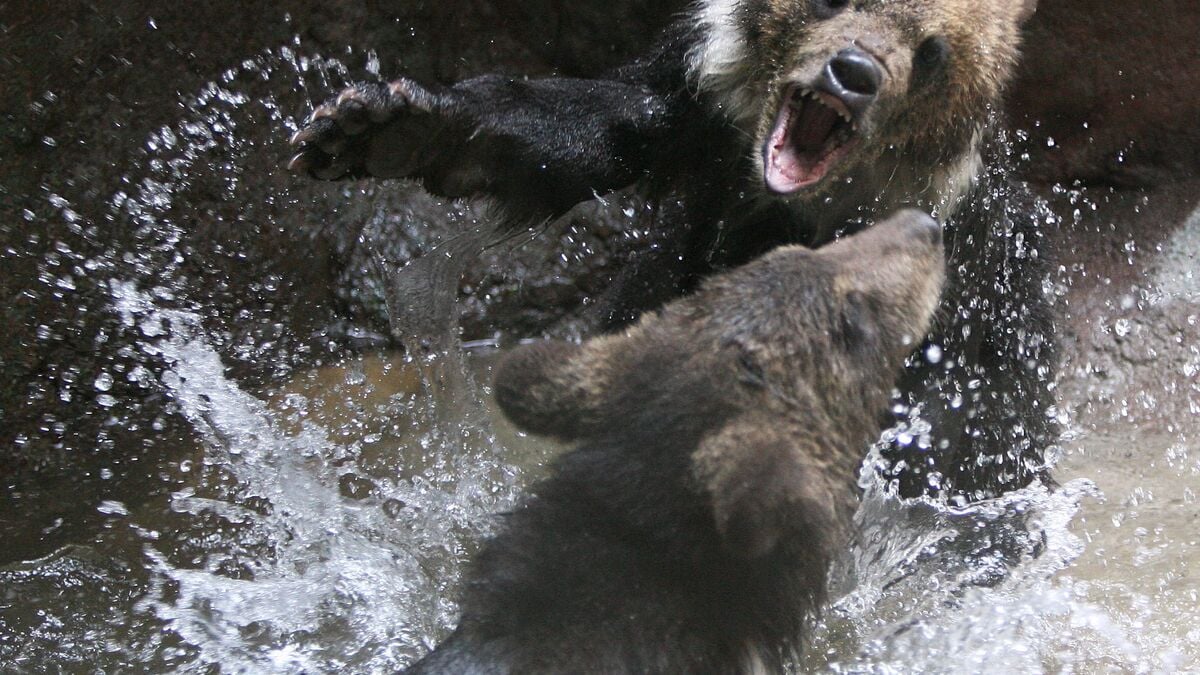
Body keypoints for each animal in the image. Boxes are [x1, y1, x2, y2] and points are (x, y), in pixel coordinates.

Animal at [287, 0, 1052, 501]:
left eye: (932, 51)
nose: (853, 73)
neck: (788, 207)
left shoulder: (970, 290)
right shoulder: (694, 103)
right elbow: (584, 127)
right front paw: (379, 123)